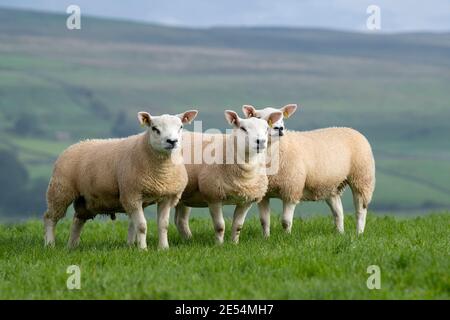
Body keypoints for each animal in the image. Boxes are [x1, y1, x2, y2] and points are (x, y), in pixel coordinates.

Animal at [44, 109, 199, 249]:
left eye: (181, 127)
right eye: (154, 128)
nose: (172, 141)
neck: (162, 172)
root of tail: (75, 145)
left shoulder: (167, 197)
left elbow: (163, 225)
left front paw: (164, 249)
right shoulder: (131, 196)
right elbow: (141, 226)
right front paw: (143, 249)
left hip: (85, 200)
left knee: (77, 221)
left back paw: (72, 246)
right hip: (60, 190)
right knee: (50, 218)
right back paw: (50, 244)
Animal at [174, 109, 284, 242]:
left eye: (267, 128)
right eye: (243, 128)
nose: (261, 141)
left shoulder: (246, 200)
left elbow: (238, 226)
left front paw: (234, 243)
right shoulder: (214, 197)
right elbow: (220, 226)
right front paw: (219, 244)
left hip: (185, 195)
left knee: (180, 220)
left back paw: (189, 240)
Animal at [243, 104, 376, 236]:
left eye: (282, 118)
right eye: (258, 117)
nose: (279, 128)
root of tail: (351, 129)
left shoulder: (292, 188)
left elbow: (286, 221)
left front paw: (287, 237)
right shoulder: (264, 194)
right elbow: (264, 221)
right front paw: (266, 238)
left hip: (362, 176)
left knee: (360, 209)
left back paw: (359, 233)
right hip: (331, 186)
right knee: (338, 212)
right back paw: (340, 233)